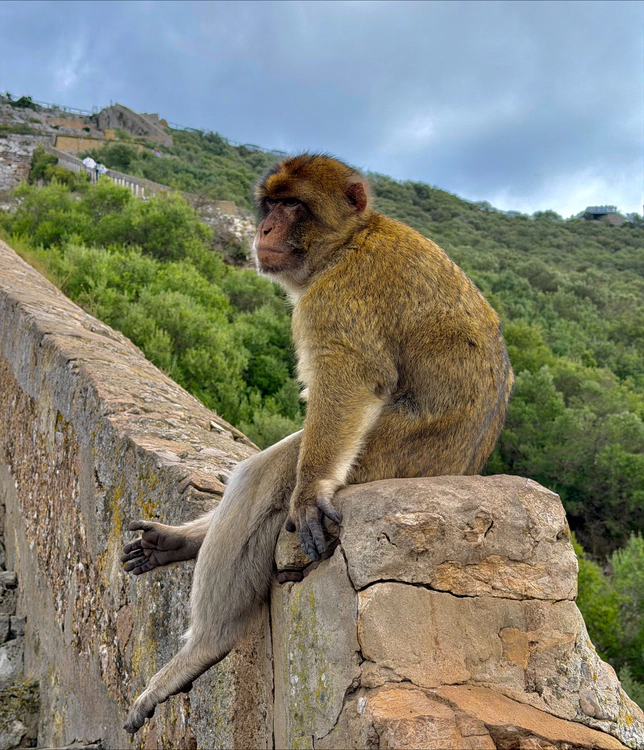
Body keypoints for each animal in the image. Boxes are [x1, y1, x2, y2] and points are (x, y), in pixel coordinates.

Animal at [121, 154, 514, 733]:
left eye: (292, 207)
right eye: (271, 204)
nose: (262, 229)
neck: (348, 241)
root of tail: (462, 466)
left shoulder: (339, 297)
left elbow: (348, 379)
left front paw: (307, 495)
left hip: (388, 454)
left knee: (269, 480)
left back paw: (203, 648)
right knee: (256, 474)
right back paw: (177, 544)